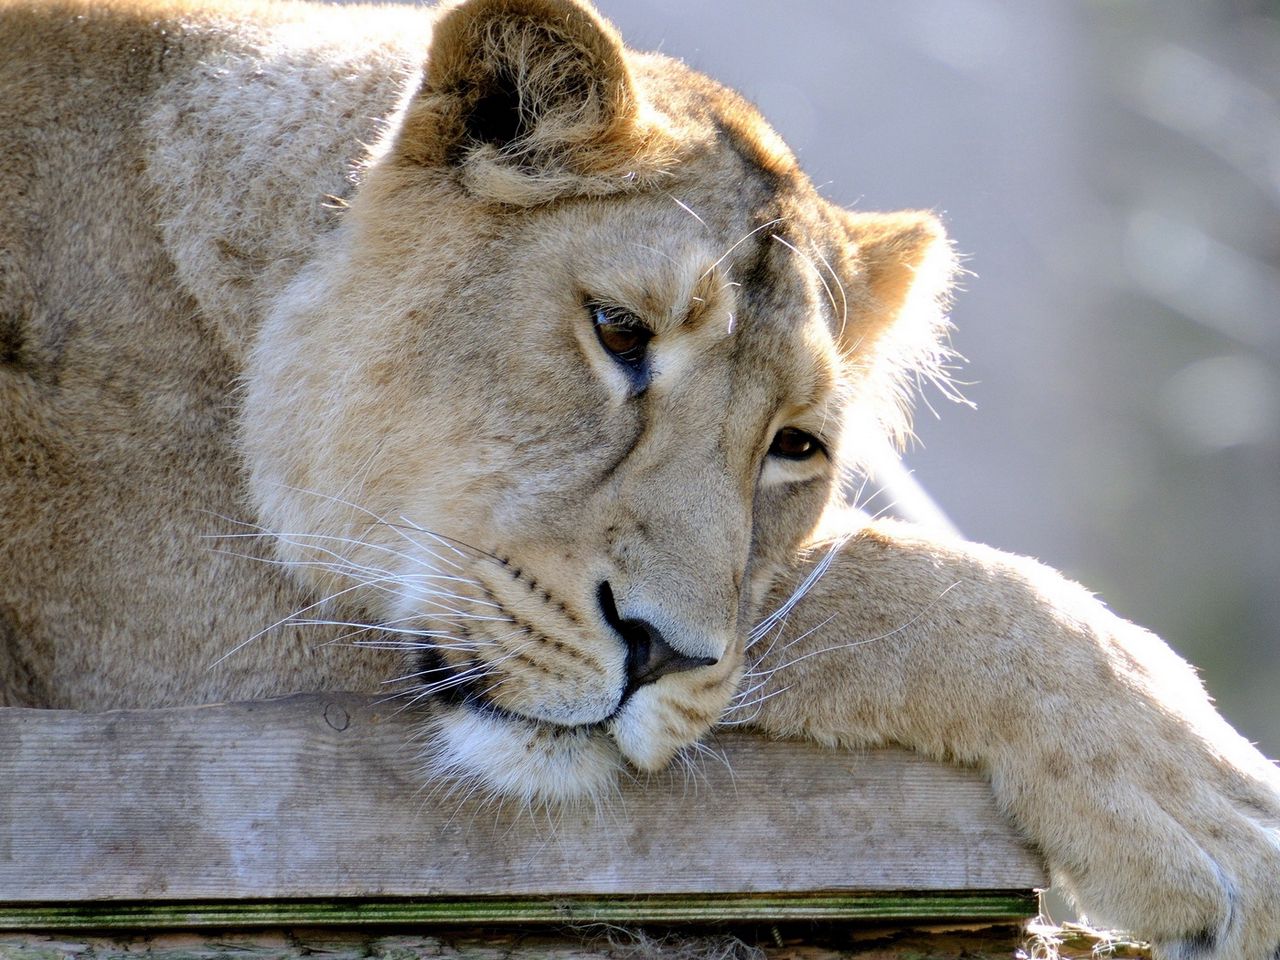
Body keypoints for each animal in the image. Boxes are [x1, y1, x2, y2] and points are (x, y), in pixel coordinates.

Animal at [1, 0, 1277, 955]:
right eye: (617, 332)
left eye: (795, 446)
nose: (658, 653)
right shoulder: (189, 652)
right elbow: (871, 584)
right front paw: (1218, 815)